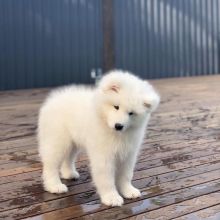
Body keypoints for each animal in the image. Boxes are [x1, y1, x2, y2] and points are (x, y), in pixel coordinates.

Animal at [37, 70, 160, 206]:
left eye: (131, 113)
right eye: (116, 107)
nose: (118, 126)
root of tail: (54, 99)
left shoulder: (128, 154)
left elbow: (126, 175)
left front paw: (128, 191)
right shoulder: (104, 155)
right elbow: (106, 178)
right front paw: (111, 197)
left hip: (72, 142)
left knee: (68, 158)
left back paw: (69, 174)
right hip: (57, 140)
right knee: (50, 165)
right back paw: (54, 186)